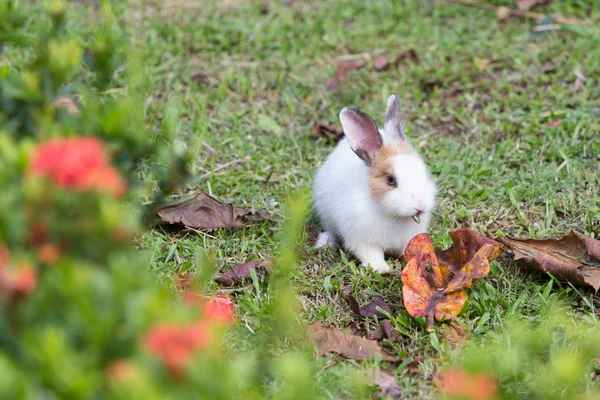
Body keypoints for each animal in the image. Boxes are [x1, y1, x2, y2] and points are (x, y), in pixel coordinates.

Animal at [312, 95, 434, 274]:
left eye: (423, 171)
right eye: (390, 180)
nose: (420, 206)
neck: (392, 215)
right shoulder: (362, 240)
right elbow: (371, 255)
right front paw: (382, 269)